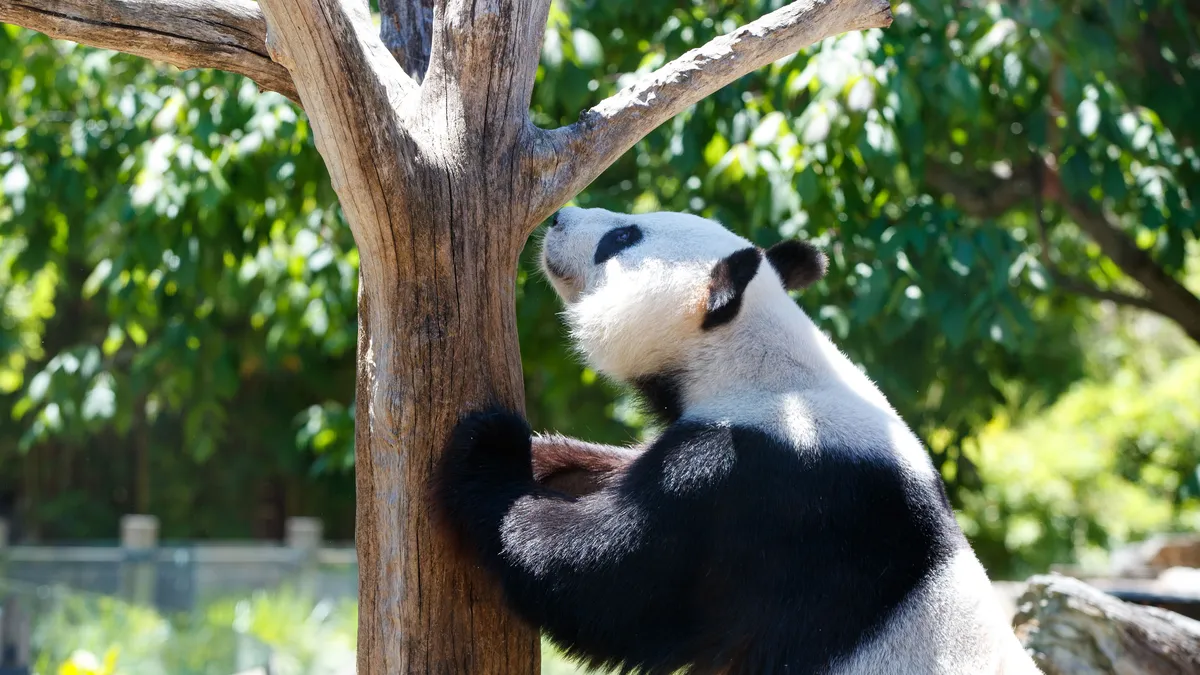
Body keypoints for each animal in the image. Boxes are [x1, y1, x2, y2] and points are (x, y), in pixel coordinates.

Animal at [434, 206, 1041, 672]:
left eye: (623, 237)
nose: (558, 218)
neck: (763, 362)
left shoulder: (762, 485)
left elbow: (608, 582)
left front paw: (489, 448)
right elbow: (612, 473)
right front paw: (541, 454)